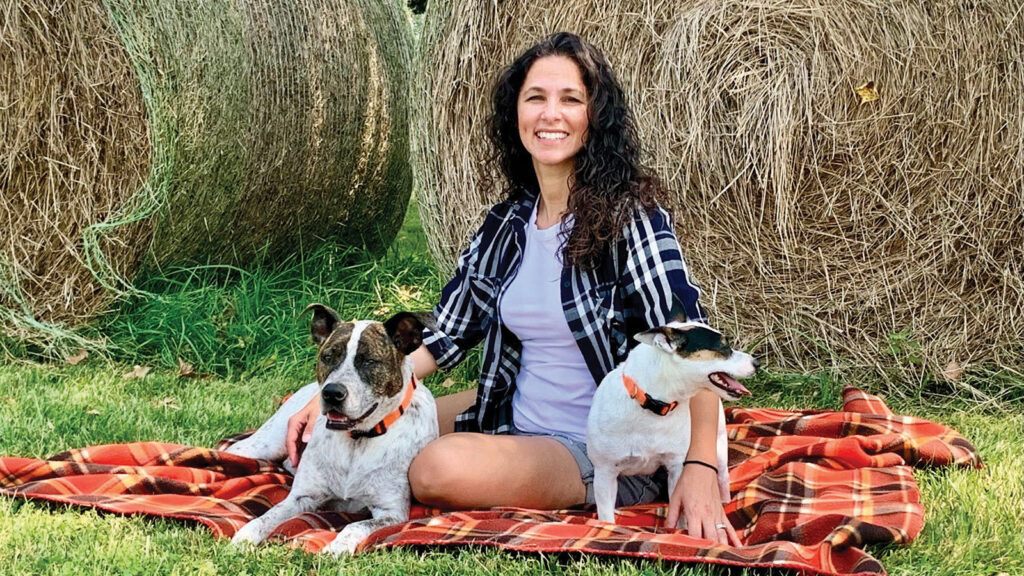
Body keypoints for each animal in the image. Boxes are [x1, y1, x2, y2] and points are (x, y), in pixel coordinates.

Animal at [228, 303, 436, 553]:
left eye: (369, 361)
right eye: (327, 357)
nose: (332, 393)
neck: (357, 440)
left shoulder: (391, 512)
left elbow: (355, 526)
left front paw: (337, 547)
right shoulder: (302, 497)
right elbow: (268, 516)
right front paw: (245, 536)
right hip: (263, 445)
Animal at [585, 315, 761, 522]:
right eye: (723, 346)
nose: (757, 363)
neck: (652, 405)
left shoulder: (676, 467)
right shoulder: (605, 472)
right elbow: (606, 515)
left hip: (719, 447)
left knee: (723, 478)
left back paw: (725, 502)